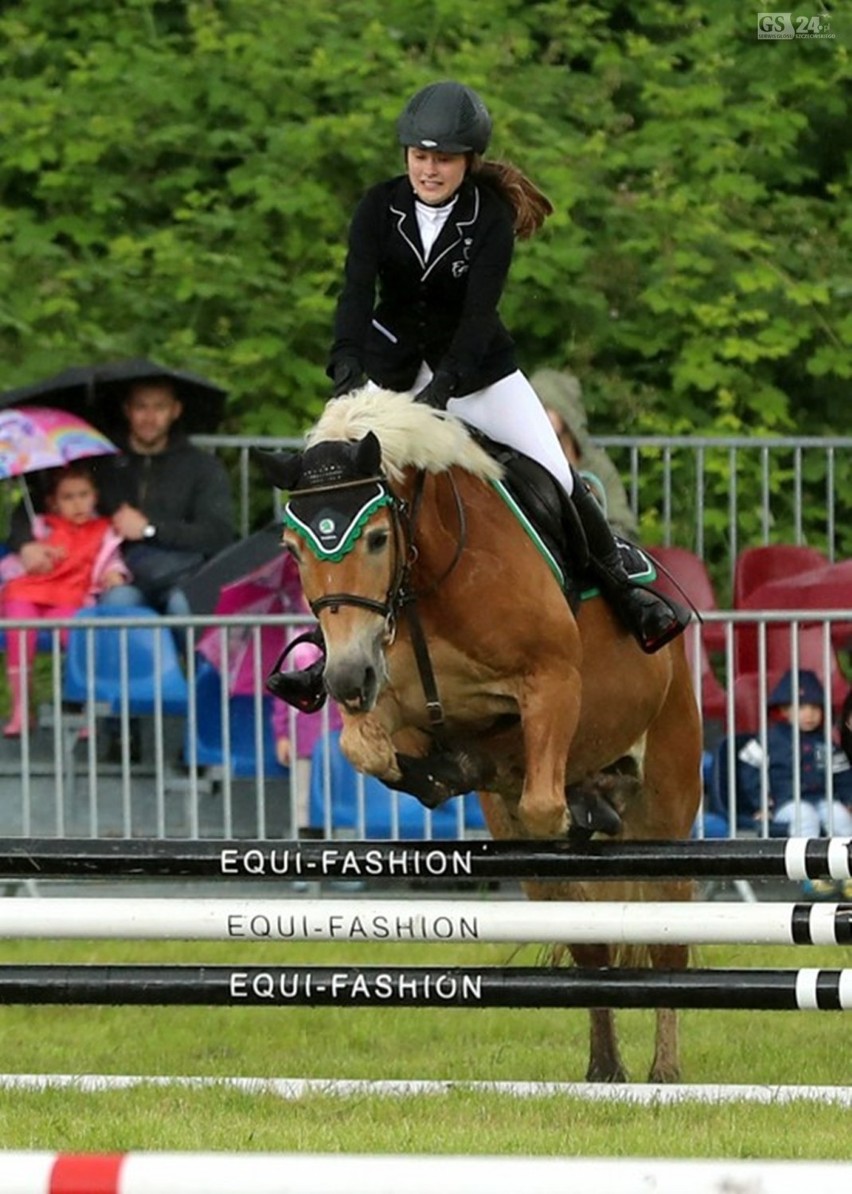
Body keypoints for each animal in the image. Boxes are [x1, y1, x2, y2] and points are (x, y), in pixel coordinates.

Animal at [257, 389, 696, 1084]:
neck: (425, 582)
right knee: (592, 941)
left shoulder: (551, 684)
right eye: (293, 549)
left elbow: (539, 793)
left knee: (667, 940)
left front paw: (498, 775)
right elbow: (367, 748)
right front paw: (446, 771)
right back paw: (605, 1071)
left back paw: (665, 1075)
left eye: (376, 537)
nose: (345, 677)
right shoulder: (389, 694)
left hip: (667, 807)